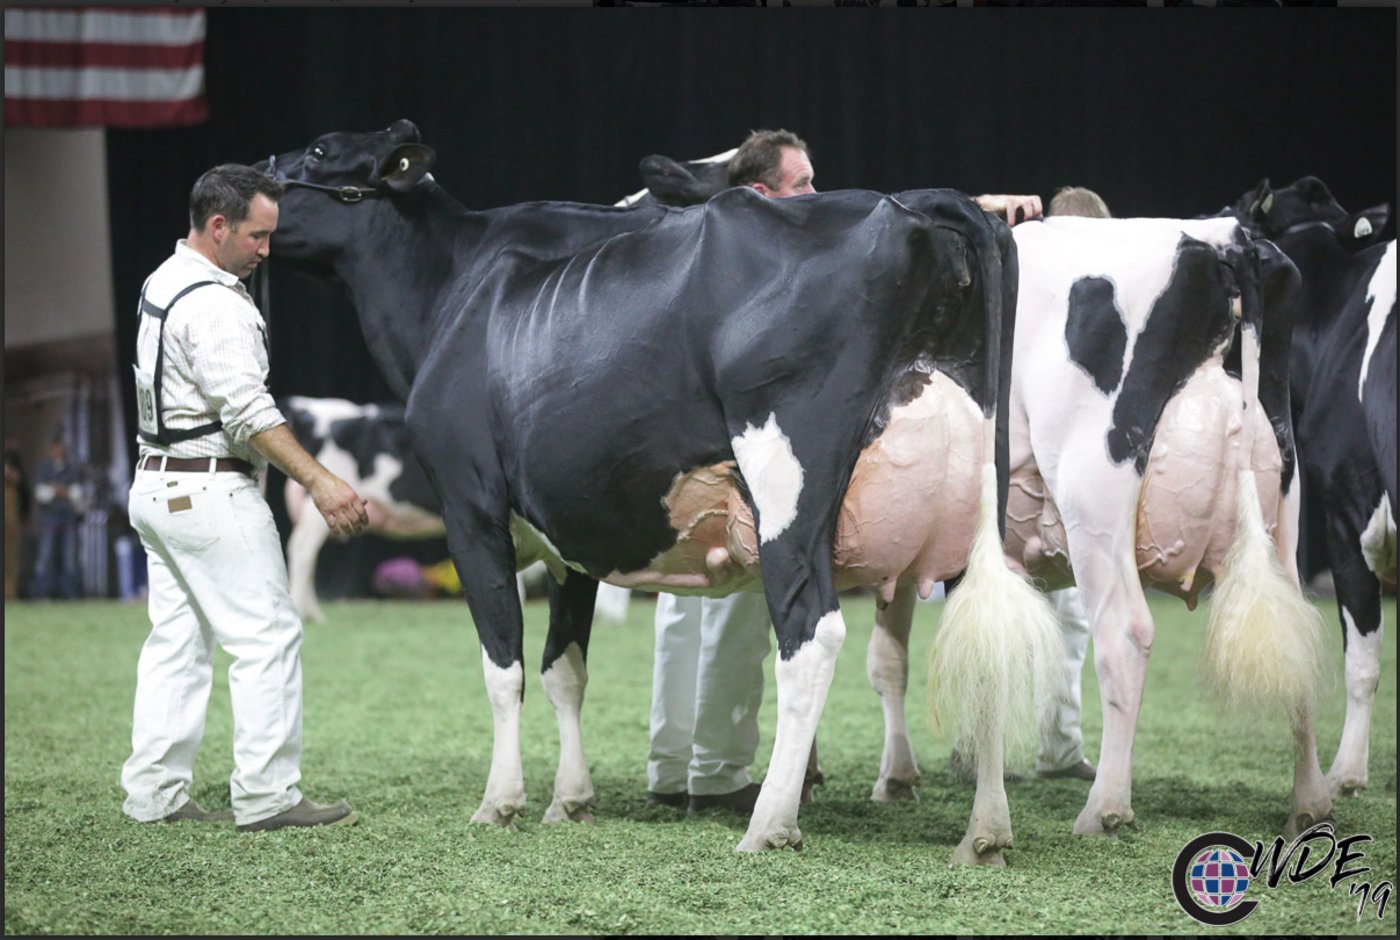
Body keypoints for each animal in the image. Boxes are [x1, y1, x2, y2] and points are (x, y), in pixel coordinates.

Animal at [259, 119, 1062, 862]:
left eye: (322, 151)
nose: (247, 175)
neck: (455, 287)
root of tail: (914, 204)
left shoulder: (471, 508)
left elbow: (504, 665)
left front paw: (500, 802)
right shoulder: (568, 539)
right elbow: (564, 670)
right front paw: (571, 799)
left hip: (788, 484)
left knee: (812, 634)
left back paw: (770, 822)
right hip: (974, 505)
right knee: (985, 636)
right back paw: (986, 831)